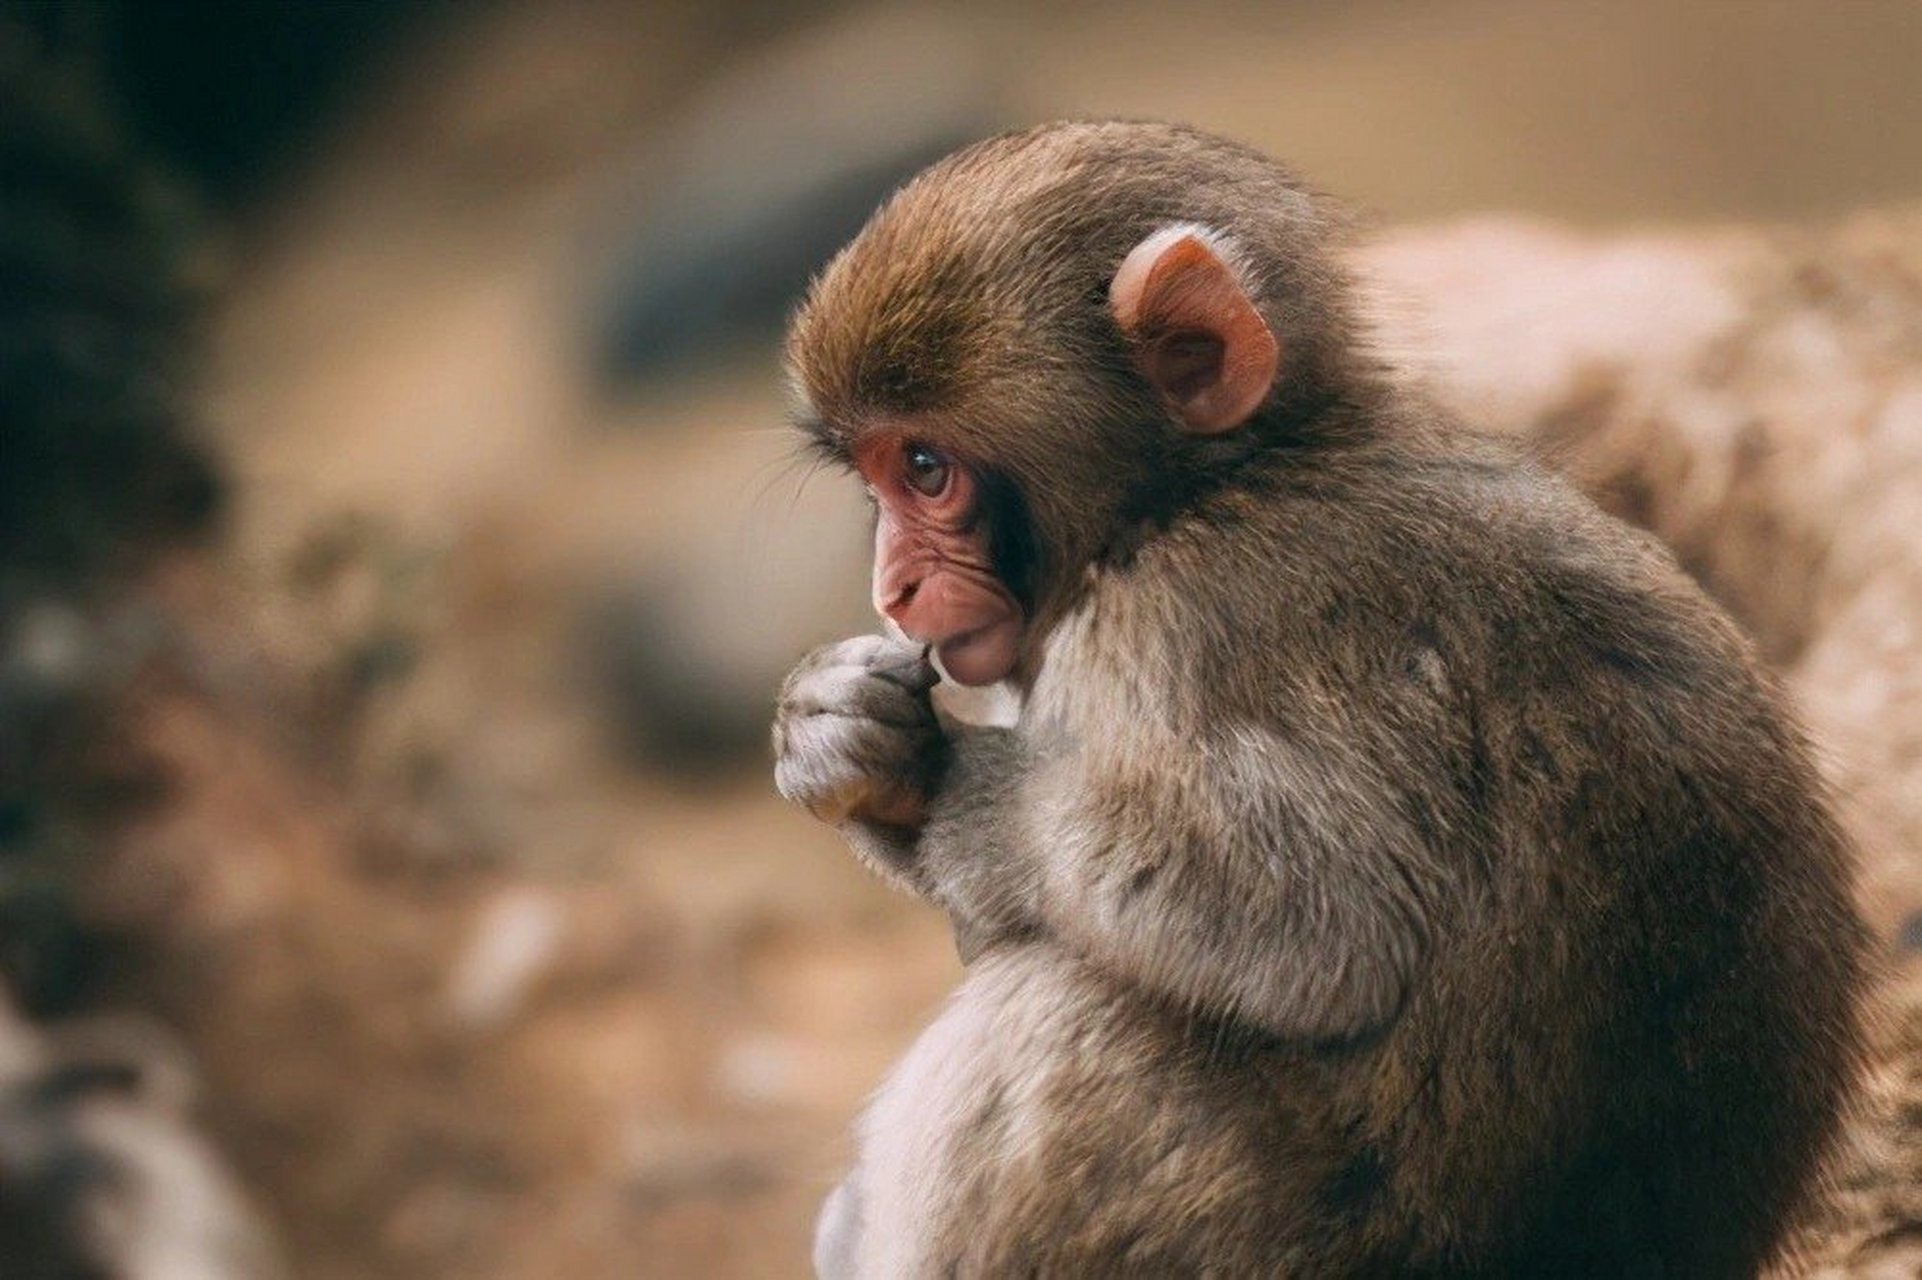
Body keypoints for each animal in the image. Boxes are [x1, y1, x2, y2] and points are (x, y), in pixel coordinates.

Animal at [772, 122, 1868, 1276]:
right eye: (875, 479)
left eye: (924, 466)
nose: (892, 586)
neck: (1203, 489)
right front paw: (839, 735)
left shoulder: (1183, 622)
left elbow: (1325, 923)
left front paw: (952, 787)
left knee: (1055, 1017)